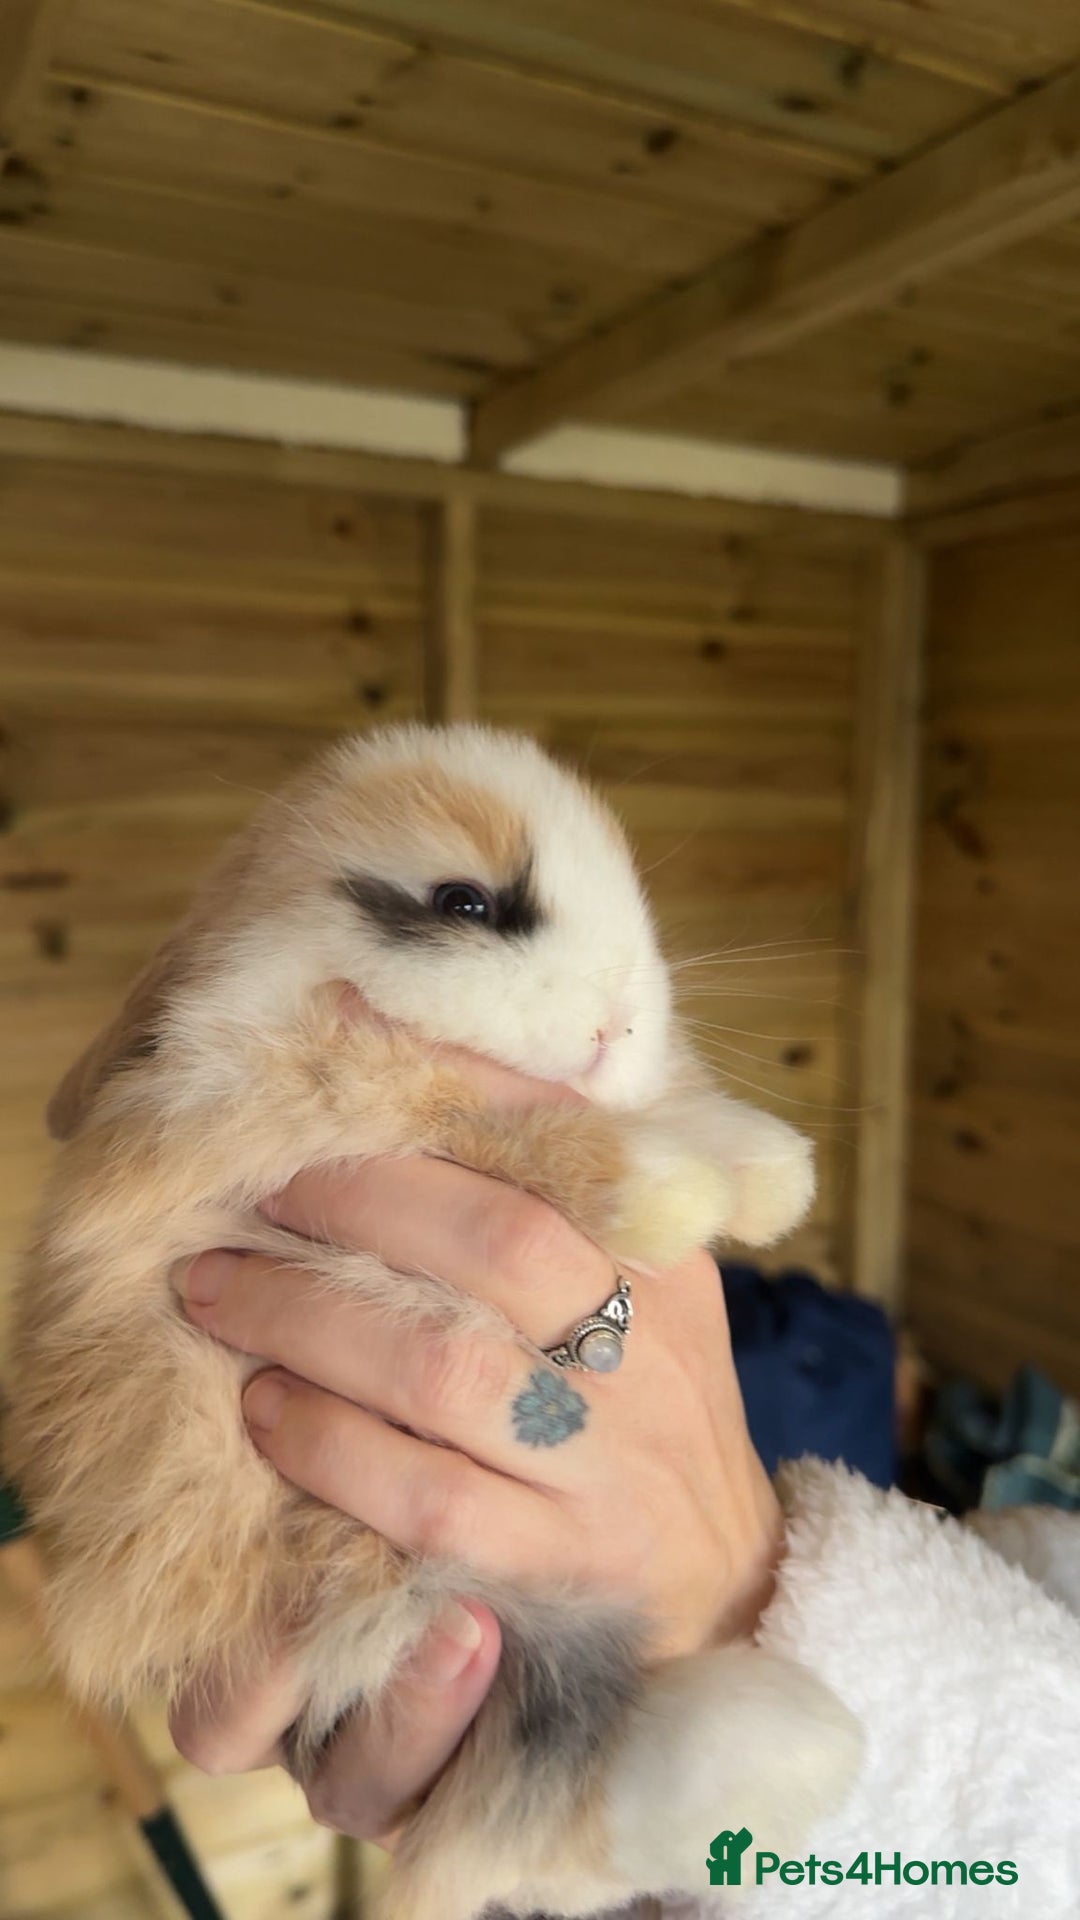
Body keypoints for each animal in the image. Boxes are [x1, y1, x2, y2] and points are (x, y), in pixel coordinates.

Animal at [6, 723, 860, 1920]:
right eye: (465, 903)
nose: (619, 1023)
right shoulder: (308, 1091)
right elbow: (476, 1111)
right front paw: (670, 1190)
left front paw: (771, 1171)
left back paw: (792, 1747)